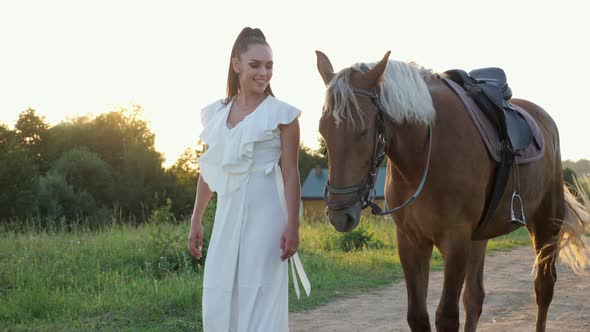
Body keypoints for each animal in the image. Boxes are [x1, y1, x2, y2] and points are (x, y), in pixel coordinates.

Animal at [316, 50, 590, 332]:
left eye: (362, 131)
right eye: (323, 130)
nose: (340, 214)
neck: (424, 156)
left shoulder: (455, 240)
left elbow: (446, 316)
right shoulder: (411, 241)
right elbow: (418, 316)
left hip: (546, 224)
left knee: (543, 288)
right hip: (479, 237)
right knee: (474, 298)